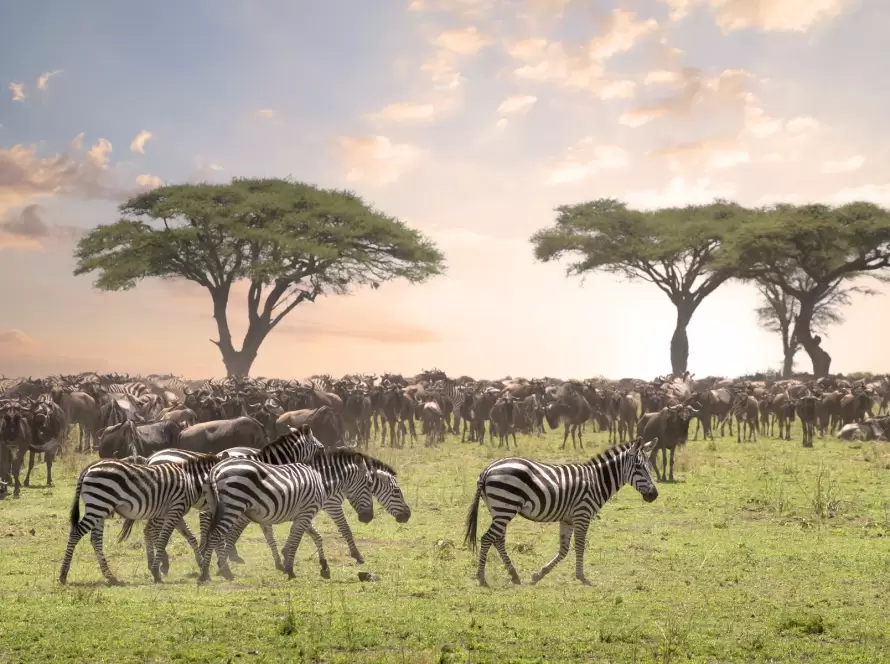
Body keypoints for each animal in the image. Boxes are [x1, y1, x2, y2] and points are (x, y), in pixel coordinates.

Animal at [59, 453, 221, 585]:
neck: (189, 482)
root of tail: (89, 467)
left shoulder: (174, 512)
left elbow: (190, 537)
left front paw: (203, 569)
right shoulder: (174, 509)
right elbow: (163, 539)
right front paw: (156, 572)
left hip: (99, 508)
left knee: (96, 539)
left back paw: (110, 577)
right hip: (98, 505)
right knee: (76, 533)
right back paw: (63, 575)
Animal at [197, 448, 375, 583]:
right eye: (368, 483)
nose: (369, 518)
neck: (320, 479)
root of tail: (215, 470)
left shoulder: (303, 513)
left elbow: (315, 536)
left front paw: (324, 566)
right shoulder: (306, 512)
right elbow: (297, 539)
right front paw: (290, 569)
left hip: (217, 507)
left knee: (214, 535)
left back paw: (216, 570)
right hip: (233, 505)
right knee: (215, 536)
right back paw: (210, 573)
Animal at [463, 436, 659, 587]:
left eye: (650, 467)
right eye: (639, 468)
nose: (654, 495)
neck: (596, 480)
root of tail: (487, 470)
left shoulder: (568, 519)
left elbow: (564, 549)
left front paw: (539, 575)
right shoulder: (582, 514)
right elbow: (579, 546)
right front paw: (582, 577)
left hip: (499, 509)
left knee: (498, 540)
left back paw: (514, 575)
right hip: (505, 507)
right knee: (487, 538)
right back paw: (482, 578)